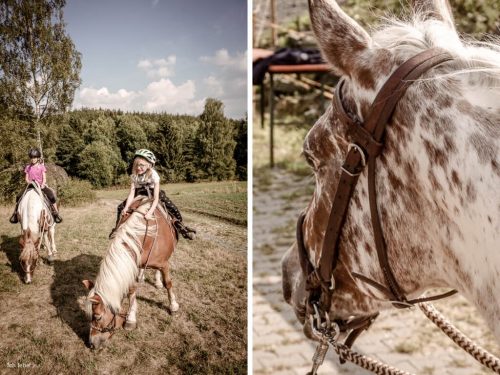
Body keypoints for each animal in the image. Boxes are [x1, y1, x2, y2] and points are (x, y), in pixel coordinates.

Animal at [81, 198, 177, 352]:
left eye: (97, 317)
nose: (91, 343)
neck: (145, 236)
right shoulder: (132, 263)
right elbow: (132, 290)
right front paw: (131, 318)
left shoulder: (164, 264)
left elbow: (168, 283)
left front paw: (173, 306)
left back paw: (157, 282)